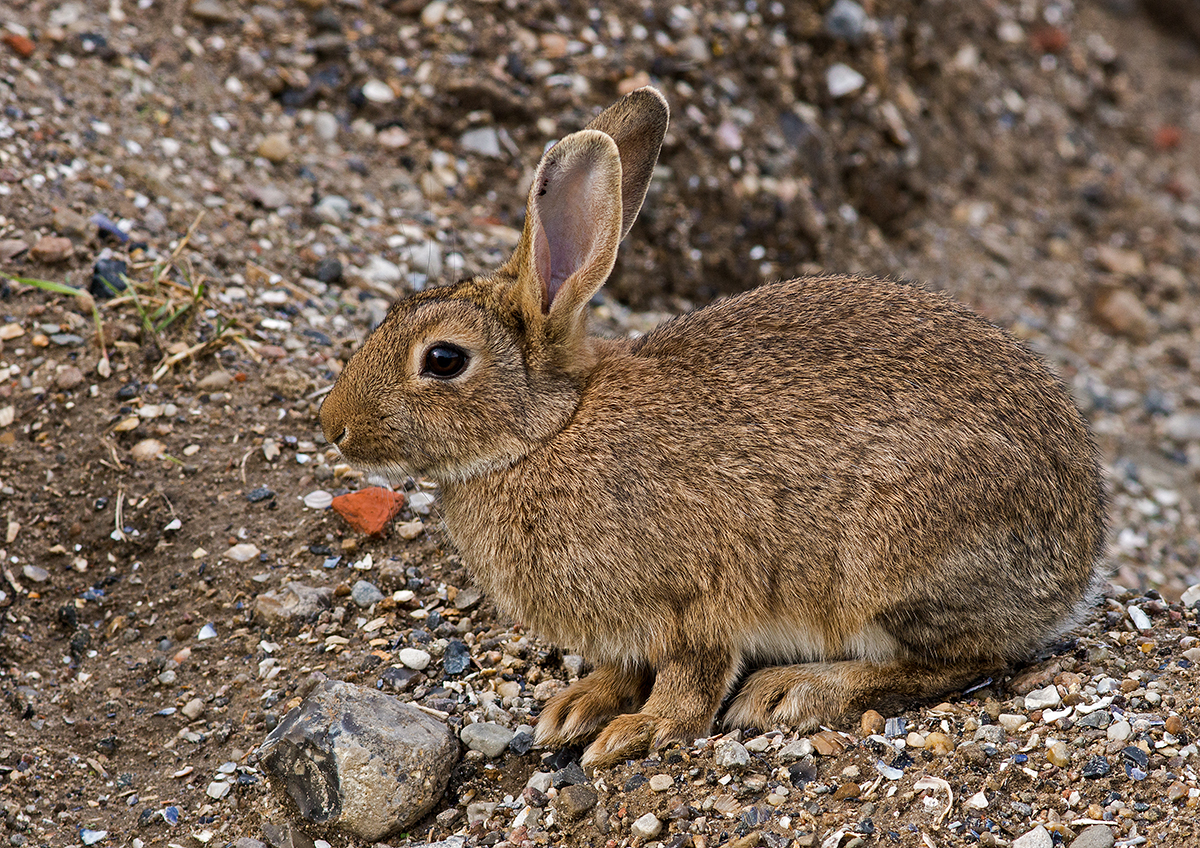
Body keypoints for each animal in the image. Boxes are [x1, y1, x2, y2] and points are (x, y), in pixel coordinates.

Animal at [319, 86, 1104, 767]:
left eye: (443, 359)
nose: (333, 427)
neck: (549, 430)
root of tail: (1077, 559)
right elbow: (620, 669)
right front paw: (575, 708)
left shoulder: (697, 602)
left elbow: (691, 677)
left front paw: (637, 732)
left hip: (892, 562)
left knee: (965, 661)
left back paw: (793, 691)